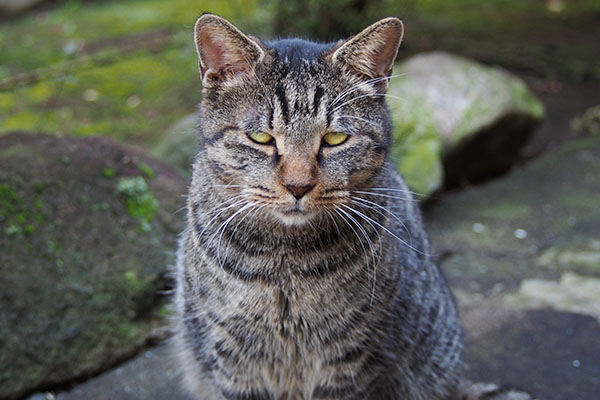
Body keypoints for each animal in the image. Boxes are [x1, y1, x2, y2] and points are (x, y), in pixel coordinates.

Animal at [171, 12, 532, 400]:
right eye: (261, 138)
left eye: (335, 138)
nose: (298, 186)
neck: (285, 266)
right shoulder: (233, 361)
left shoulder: (352, 360)